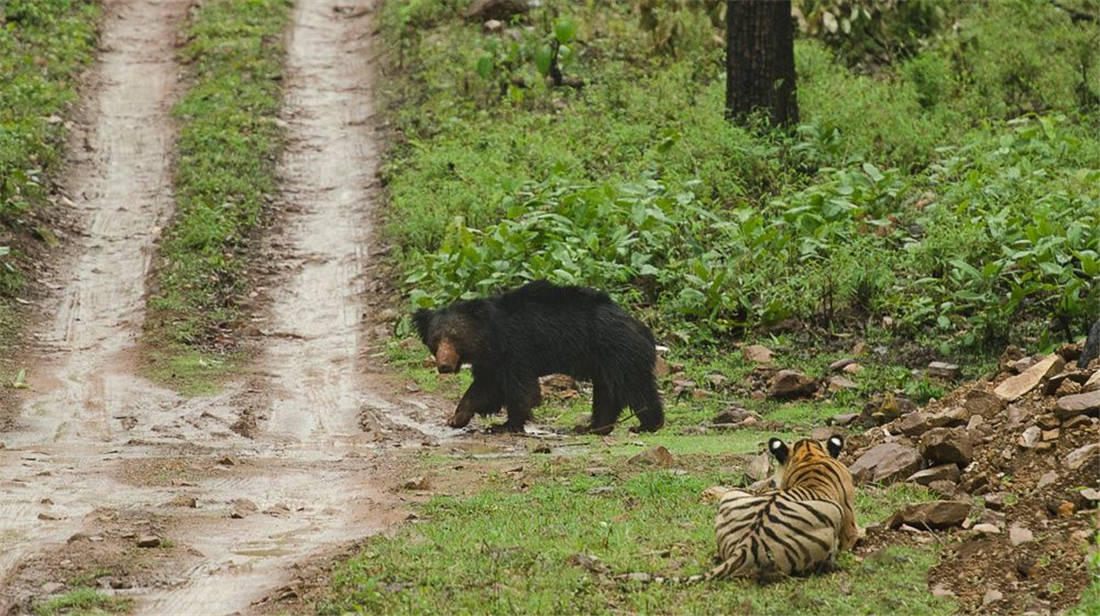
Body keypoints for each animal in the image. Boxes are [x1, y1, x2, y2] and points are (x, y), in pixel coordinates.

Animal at [413, 279, 660, 433]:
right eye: (435, 340)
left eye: (455, 337)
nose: (444, 365)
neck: (491, 338)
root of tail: (643, 328)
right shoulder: (492, 361)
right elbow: (486, 388)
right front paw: (457, 418)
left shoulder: (517, 348)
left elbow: (521, 389)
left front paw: (506, 425)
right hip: (604, 363)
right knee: (607, 394)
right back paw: (594, 427)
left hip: (618, 352)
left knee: (636, 388)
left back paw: (647, 424)